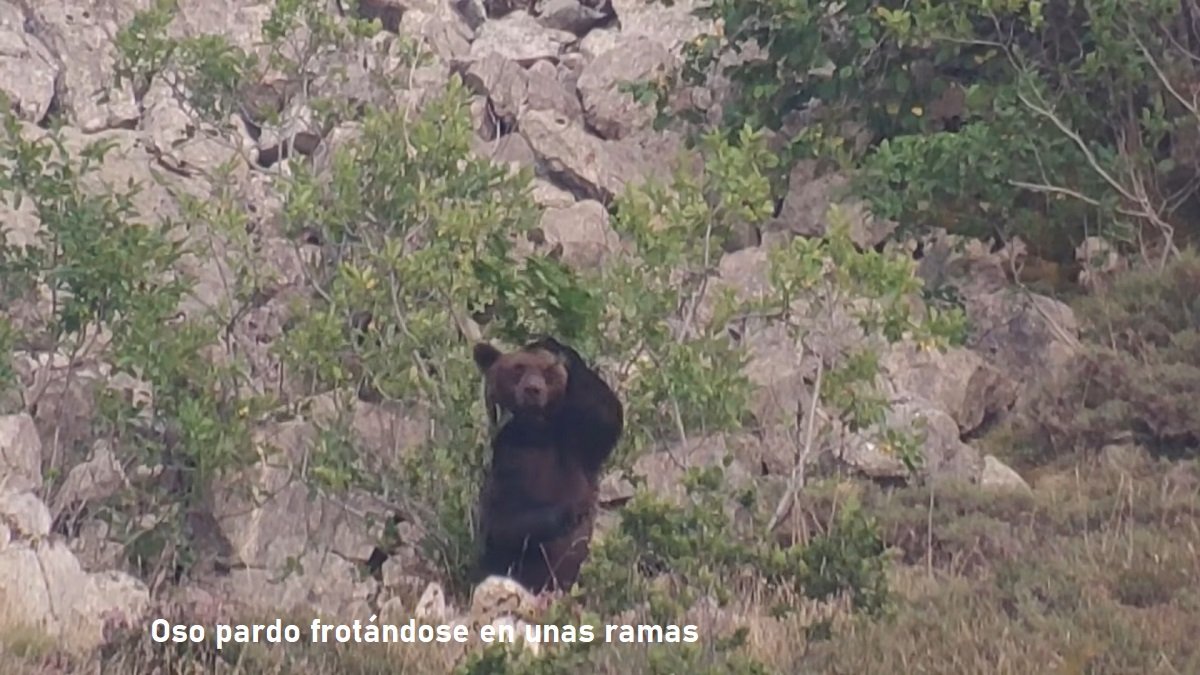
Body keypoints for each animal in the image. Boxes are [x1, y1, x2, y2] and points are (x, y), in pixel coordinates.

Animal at [471, 336, 624, 594]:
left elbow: (607, 412)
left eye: (547, 371)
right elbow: (501, 519)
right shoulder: (508, 455)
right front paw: (567, 514)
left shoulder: (580, 445)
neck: (536, 429)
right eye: (518, 367)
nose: (533, 389)